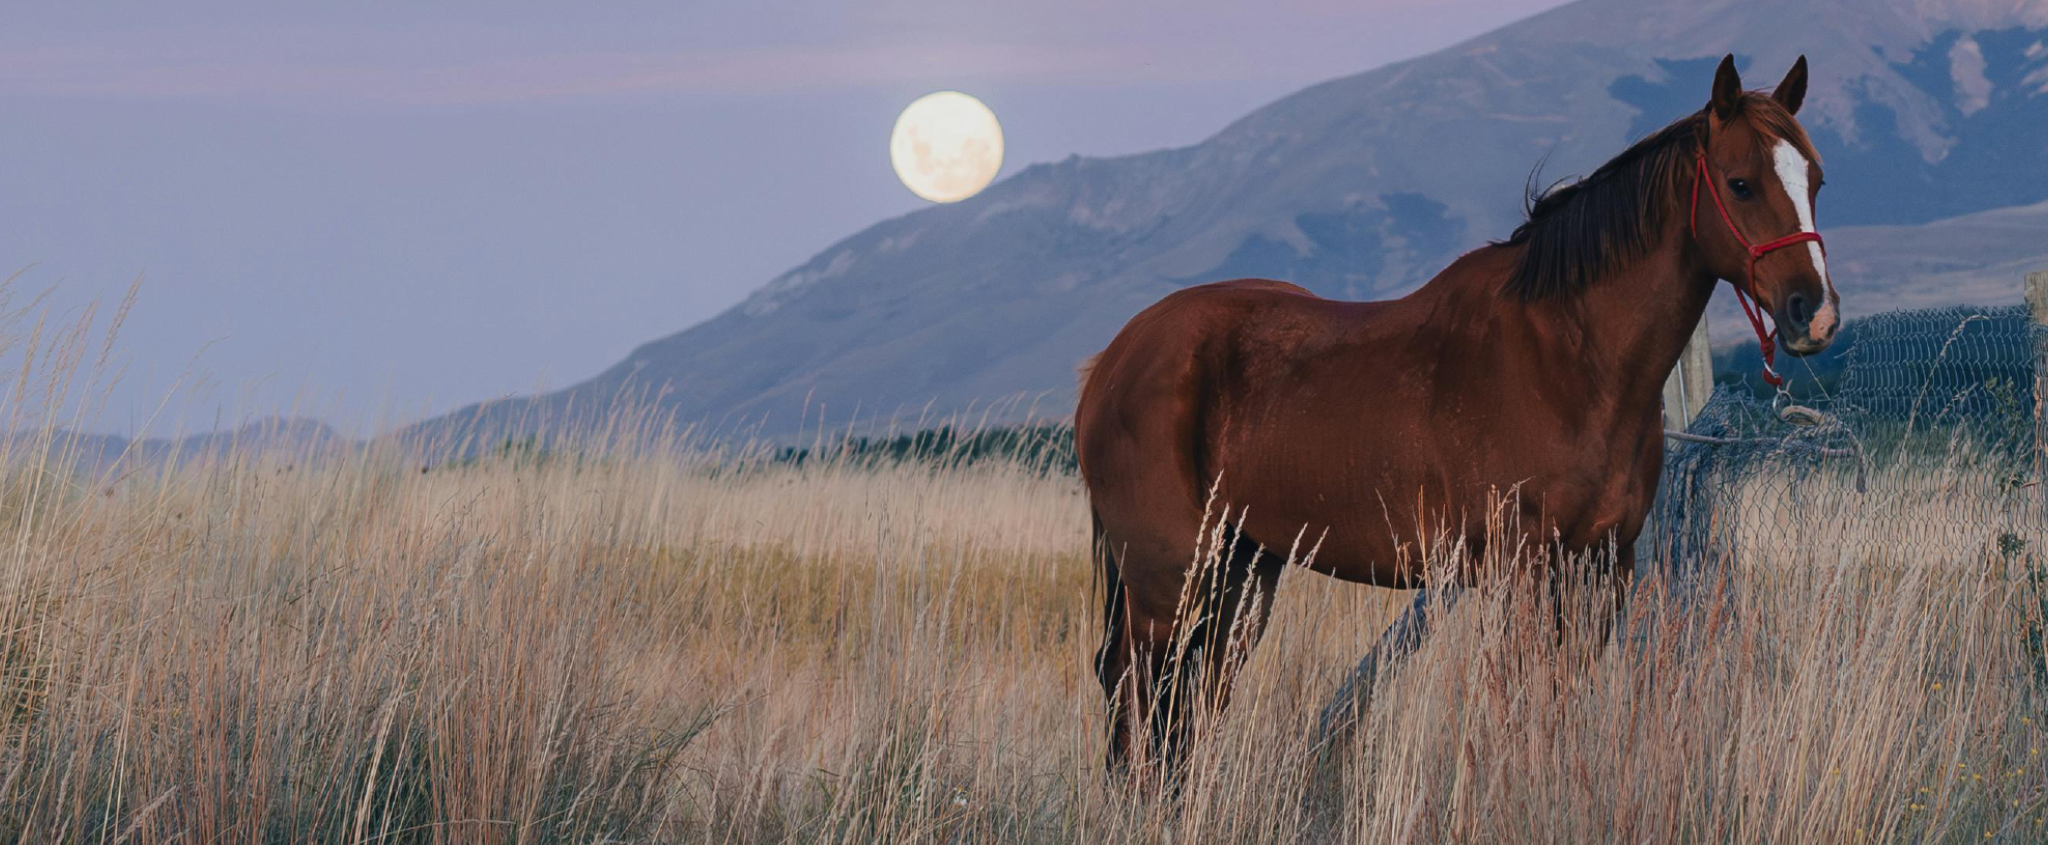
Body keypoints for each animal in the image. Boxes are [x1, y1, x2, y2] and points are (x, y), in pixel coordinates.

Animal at [1074, 55, 1842, 775]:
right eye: (1741, 183)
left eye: (1816, 181)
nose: (1814, 312)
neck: (1570, 359)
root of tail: (1112, 360)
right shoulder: (1523, 572)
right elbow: (1525, 706)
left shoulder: (1603, 568)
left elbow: (1561, 703)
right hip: (1167, 579)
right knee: (1138, 692)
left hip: (1243, 570)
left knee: (1194, 698)